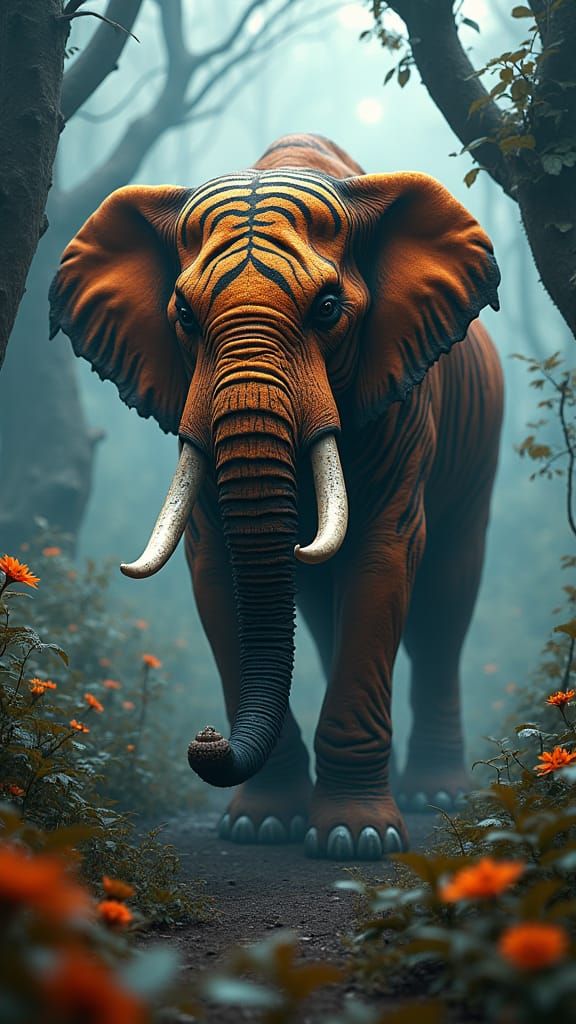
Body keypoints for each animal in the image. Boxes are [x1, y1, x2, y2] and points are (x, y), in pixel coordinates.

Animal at [49, 133, 503, 860]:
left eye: (328, 310)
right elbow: (216, 572)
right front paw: (259, 827)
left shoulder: (404, 403)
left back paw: (437, 796)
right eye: (183, 316)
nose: (207, 739)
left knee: (444, 604)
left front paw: (357, 839)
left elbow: (383, 556)